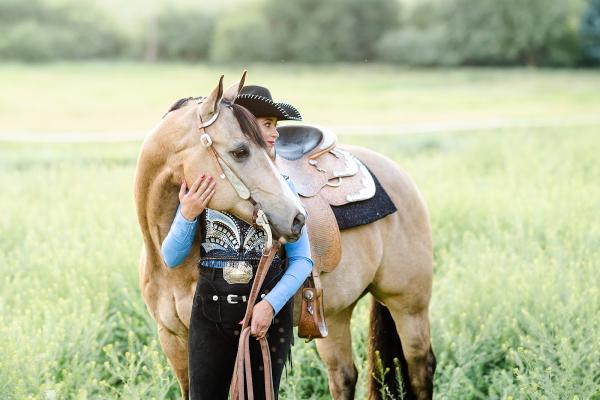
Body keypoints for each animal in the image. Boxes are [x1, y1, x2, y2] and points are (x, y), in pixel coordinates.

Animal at [134, 73, 436, 398]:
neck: (169, 266)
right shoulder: (174, 340)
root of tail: (397, 174)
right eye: (240, 151)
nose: (297, 218)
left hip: (409, 306)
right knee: (344, 376)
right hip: (334, 314)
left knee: (421, 368)